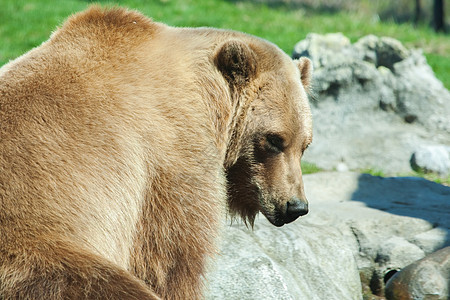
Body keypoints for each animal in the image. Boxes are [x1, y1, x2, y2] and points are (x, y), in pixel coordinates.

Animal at [0, 5, 312, 300]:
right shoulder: (169, 155)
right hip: (40, 252)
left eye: (305, 144)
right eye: (274, 140)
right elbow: (172, 254)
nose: (296, 206)